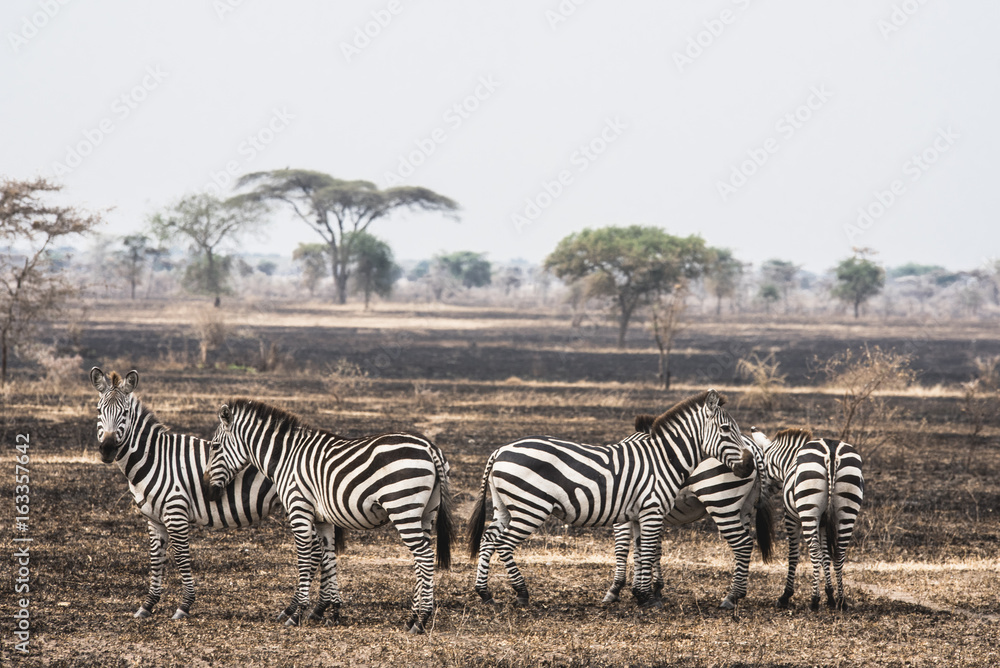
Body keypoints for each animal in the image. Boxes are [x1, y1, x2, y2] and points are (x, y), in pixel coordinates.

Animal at [87, 368, 326, 620]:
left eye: (124, 413)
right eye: (98, 411)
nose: (107, 450)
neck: (154, 458)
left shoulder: (176, 512)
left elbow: (182, 558)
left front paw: (184, 606)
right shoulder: (153, 519)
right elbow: (156, 559)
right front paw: (148, 605)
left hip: (298, 505)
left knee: (314, 551)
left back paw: (300, 609)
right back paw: (313, 608)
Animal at [205, 400, 456, 636]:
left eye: (215, 447)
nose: (207, 490)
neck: (285, 458)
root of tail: (430, 447)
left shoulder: (299, 509)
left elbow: (305, 559)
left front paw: (296, 613)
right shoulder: (323, 519)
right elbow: (328, 557)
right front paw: (333, 612)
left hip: (403, 506)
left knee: (424, 556)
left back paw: (421, 620)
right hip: (426, 513)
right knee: (420, 559)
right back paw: (412, 618)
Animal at [468, 388, 752, 608]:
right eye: (726, 429)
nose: (748, 466)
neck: (664, 458)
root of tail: (500, 450)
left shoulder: (639, 514)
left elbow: (641, 551)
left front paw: (641, 594)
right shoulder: (652, 510)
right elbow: (648, 550)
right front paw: (647, 598)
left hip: (505, 507)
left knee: (488, 539)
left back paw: (485, 593)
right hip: (531, 507)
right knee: (504, 544)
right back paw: (522, 593)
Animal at [600, 414, 772, 612]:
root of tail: (753, 448)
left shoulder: (626, 511)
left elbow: (622, 549)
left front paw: (616, 589)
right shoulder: (649, 512)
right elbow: (649, 550)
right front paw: (653, 589)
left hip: (720, 500)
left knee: (742, 544)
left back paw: (731, 596)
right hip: (745, 507)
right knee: (744, 545)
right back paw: (738, 592)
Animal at [752, 428, 864, 612]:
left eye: (761, 469)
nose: (757, 500)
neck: (789, 462)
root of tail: (831, 451)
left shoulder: (791, 518)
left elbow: (794, 554)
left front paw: (786, 596)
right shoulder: (824, 522)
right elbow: (826, 554)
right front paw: (830, 595)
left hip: (808, 510)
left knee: (814, 552)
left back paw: (814, 601)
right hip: (848, 509)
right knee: (839, 553)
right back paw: (842, 601)